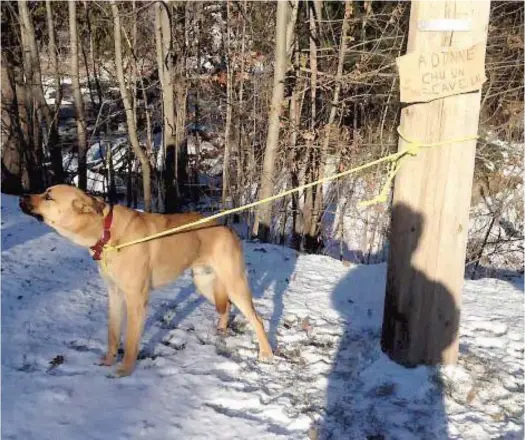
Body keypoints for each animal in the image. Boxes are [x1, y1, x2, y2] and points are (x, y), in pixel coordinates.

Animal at [18, 184, 272, 376]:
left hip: (235, 285)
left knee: (257, 318)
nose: (21, 196)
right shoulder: (115, 294)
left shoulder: (136, 299)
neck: (106, 232)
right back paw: (221, 329)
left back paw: (266, 353)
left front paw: (124, 371)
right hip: (205, 283)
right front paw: (108, 361)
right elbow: (112, 334)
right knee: (225, 305)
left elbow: (131, 340)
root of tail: (228, 229)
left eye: (48, 196)